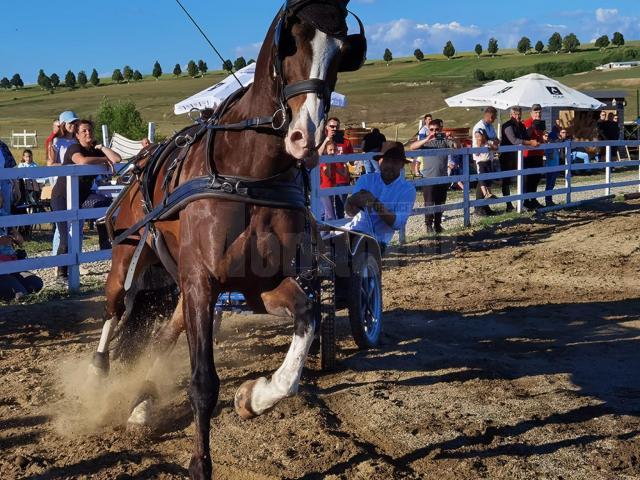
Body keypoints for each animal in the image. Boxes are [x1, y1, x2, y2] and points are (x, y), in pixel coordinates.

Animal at [87, 1, 364, 478]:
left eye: (341, 50)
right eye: (291, 42)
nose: (306, 138)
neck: (248, 174)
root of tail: (143, 160)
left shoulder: (256, 283)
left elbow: (307, 320)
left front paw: (253, 396)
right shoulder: (202, 281)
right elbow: (203, 382)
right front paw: (200, 463)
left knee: (167, 330)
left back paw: (141, 406)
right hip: (128, 257)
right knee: (116, 310)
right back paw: (101, 373)